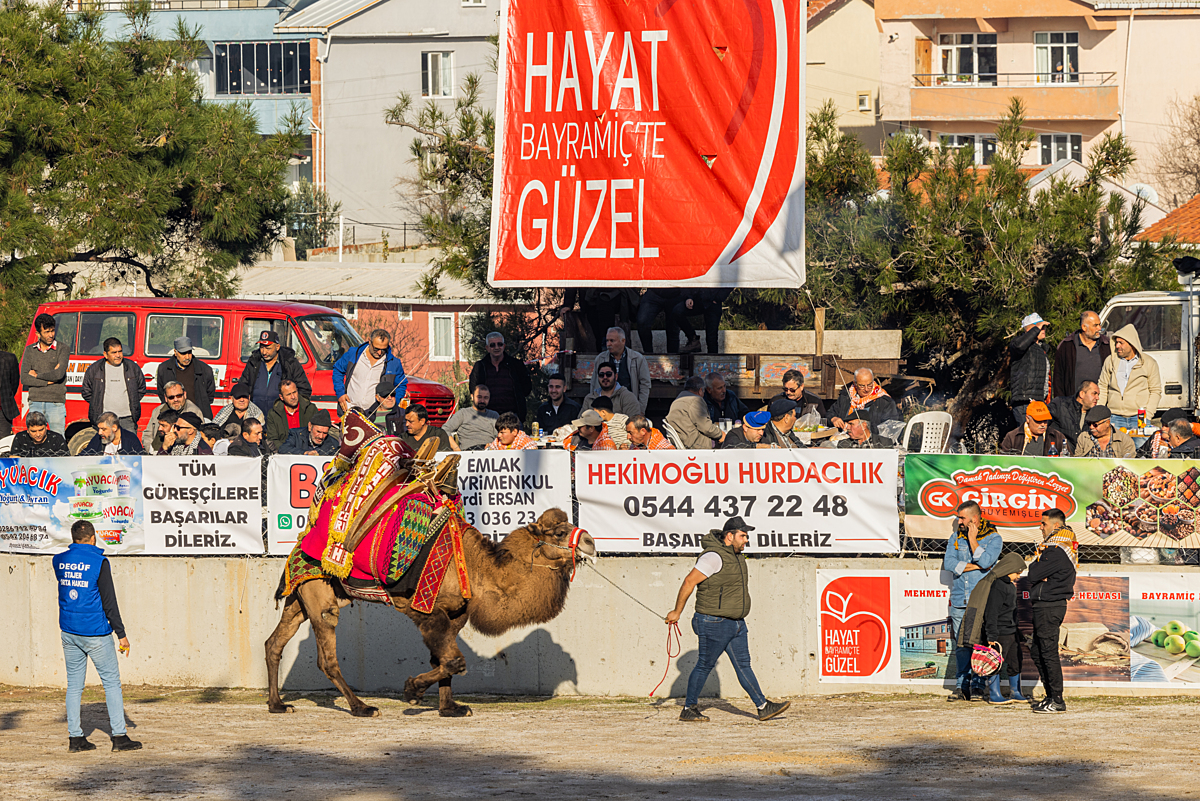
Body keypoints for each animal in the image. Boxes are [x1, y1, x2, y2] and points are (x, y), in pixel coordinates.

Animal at [266, 510, 595, 714]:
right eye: (560, 532)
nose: (590, 541)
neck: (476, 569)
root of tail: (297, 546)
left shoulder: (455, 615)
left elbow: (444, 660)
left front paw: (451, 709)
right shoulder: (423, 610)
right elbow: (455, 661)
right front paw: (412, 691)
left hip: (300, 599)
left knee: (274, 642)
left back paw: (278, 704)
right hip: (320, 597)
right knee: (326, 655)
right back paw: (362, 707)